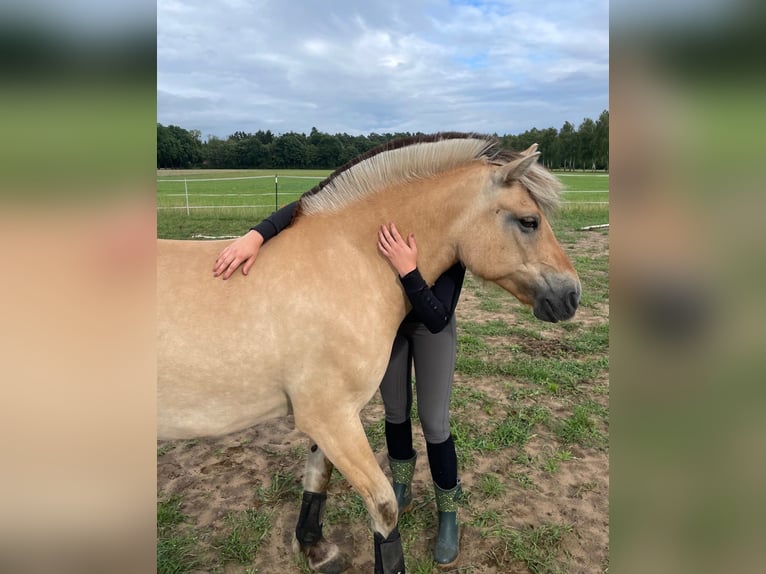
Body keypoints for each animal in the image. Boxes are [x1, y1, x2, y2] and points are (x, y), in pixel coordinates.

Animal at [157, 133, 581, 573]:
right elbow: (383, 506)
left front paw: (314, 549)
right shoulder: (331, 418)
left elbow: (318, 477)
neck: (348, 261)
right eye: (529, 221)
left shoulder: (330, 421)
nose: (572, 295)